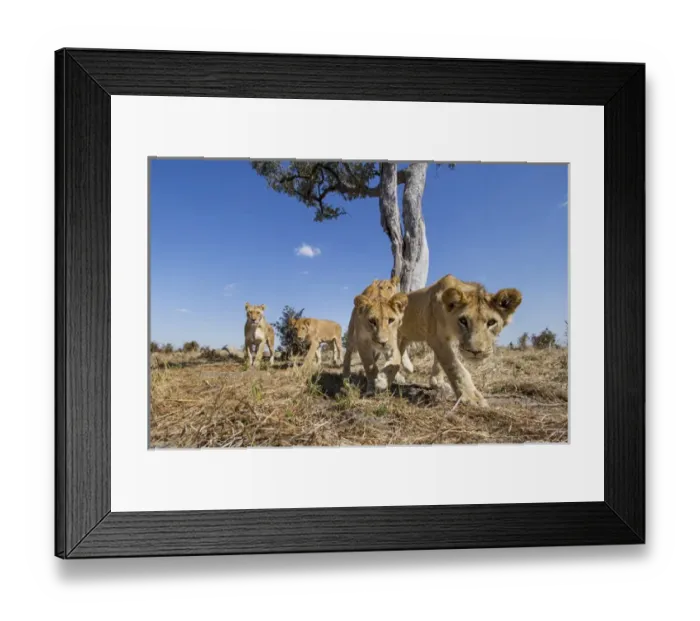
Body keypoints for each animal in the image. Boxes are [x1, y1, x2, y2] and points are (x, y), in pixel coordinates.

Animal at [397, 275, 522, 407]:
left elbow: (439, 362)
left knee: (402, 347)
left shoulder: (447, 339)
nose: (476, 352)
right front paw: (471, 397)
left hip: (407, 334)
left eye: (491, 322)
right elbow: (454, 366)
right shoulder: (436, 337)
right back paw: (397, 377)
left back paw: (407, 367)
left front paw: (437, 382)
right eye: (463, 321)